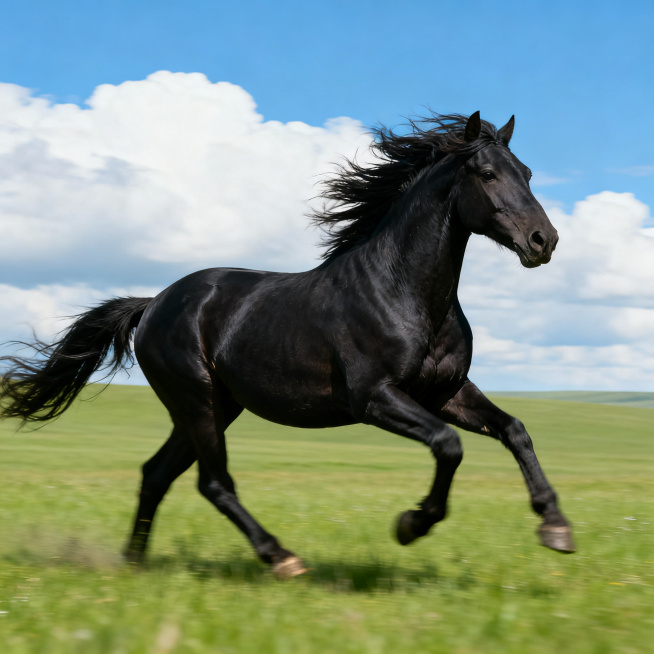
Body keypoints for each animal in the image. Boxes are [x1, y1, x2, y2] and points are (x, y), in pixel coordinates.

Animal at [0, 112, 575, 579]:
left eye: (527, 173)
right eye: (486, 174)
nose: (543, 241)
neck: (404, 292)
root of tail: (154, 303)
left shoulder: (446, 392)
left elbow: (514, 430)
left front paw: (555, 526)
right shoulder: (375, 398)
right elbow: (448, 445)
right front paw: (412, 524)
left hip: (216, 406)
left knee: (156, 474)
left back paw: (134, 563)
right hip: (197, 400)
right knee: (213, 483)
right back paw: (282, 558)